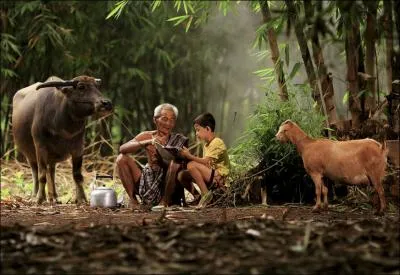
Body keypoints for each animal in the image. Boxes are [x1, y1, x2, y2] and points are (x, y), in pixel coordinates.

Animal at [12, 75, 112, 205]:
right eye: (81, 87)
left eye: (96, 86)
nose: (106, 103)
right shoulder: (40, 146)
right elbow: (41, 175)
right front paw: (40, 198)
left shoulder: (78, 147)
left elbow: (77, 175)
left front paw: (81, 199)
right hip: (29, 154)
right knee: (36, 171)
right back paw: (35, 195)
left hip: (52, 157)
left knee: (51, 172)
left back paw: (53, 197)